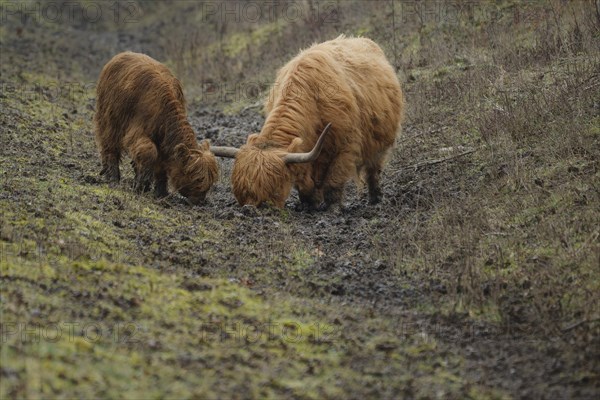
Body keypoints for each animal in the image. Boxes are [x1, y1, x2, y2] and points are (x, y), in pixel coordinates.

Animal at [92, 52, 217, 205]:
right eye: (197, 178)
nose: (200, 200)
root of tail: (123, 54)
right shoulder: (138, 130)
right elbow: (149, 152)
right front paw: (142, 185)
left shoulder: (164, 142)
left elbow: (161, 165)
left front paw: (160, 192)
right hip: (109, 118)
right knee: (109, 145)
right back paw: (113, 177)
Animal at [213, 36, 406, 209]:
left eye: (274, 191)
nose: (249, 208)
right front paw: (309, 203)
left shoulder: (346, 146)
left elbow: (334, 179)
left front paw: (332, 207)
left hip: (379, 143)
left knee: (373, 169)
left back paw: (375, 199)